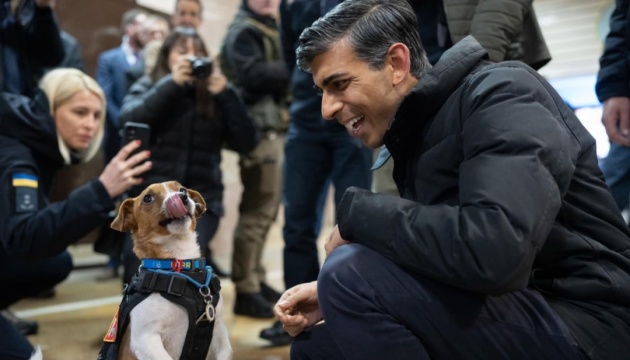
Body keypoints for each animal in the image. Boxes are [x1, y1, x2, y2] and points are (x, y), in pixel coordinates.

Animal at [100, 181, 233, 360]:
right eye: (148, 198)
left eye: (182, 189)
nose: (182, 197)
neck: (179, 266)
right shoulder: (146, 339)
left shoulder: (219, 330)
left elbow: (226, 350)